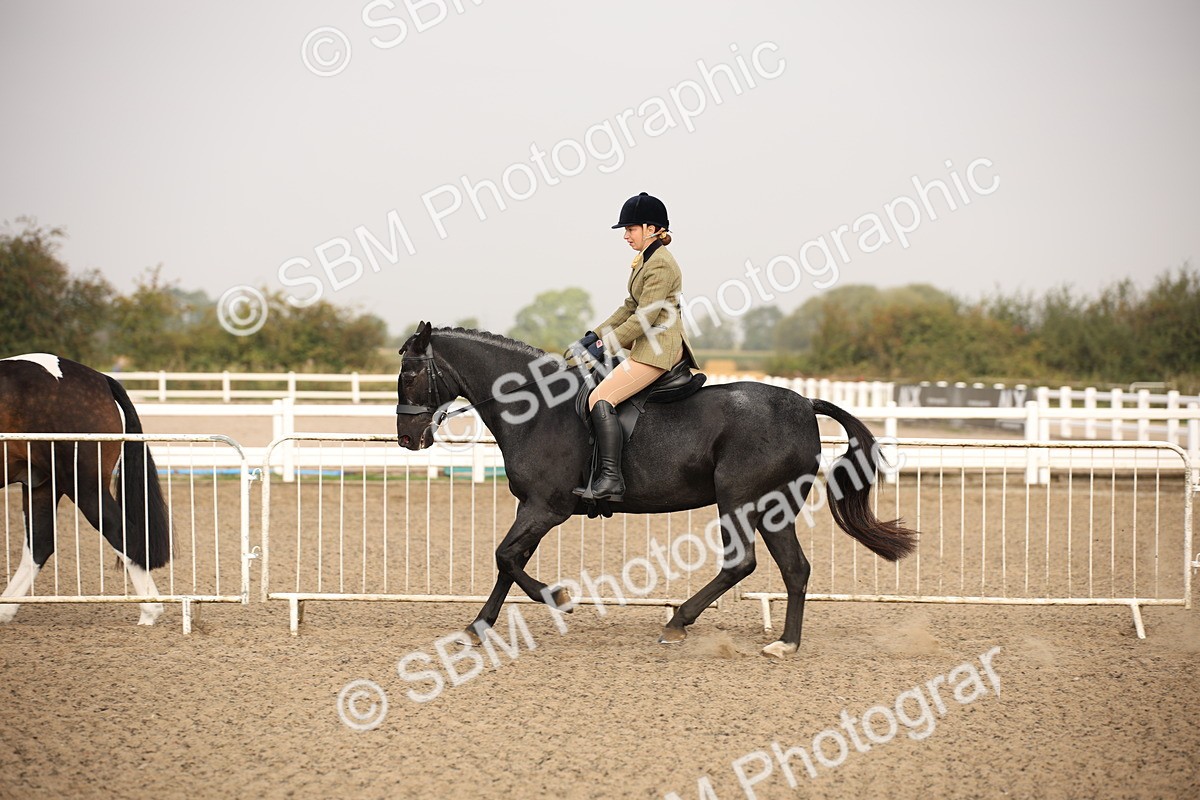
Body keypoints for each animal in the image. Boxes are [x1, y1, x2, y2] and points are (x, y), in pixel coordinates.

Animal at [0, 353, 171, 625]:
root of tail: (101, 379)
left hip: (84, 486)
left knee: (121, 533)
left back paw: (149, 612)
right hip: (42, 484)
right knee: (39, 545)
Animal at [395, 323, 917, 658]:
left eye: (411, 374)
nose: (406, 438)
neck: (539, 409)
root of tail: (805, 403)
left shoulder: (546, 507)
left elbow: (505, 557)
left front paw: (558, 597)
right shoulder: (533, 508)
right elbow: (508, 562)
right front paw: (478, 626)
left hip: (738, 499)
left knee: (742, 563)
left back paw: (677, 624)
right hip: (774, 506)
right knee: (794, 568)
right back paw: (785, 643)